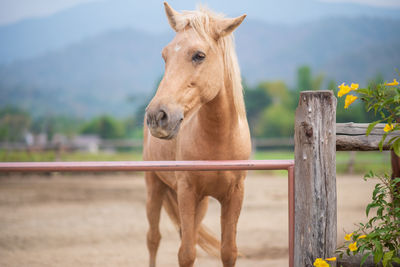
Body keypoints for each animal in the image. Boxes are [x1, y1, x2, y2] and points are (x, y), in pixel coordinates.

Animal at [143, 2, 250, 267]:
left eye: (199, 55)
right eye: (165, 55)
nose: (157, 116)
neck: (219, 140)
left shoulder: (234, 195)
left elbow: (228, 252)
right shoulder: (187, 192)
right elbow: (186, 253)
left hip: (200, 204)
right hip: (154, 187)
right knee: (153, 238)